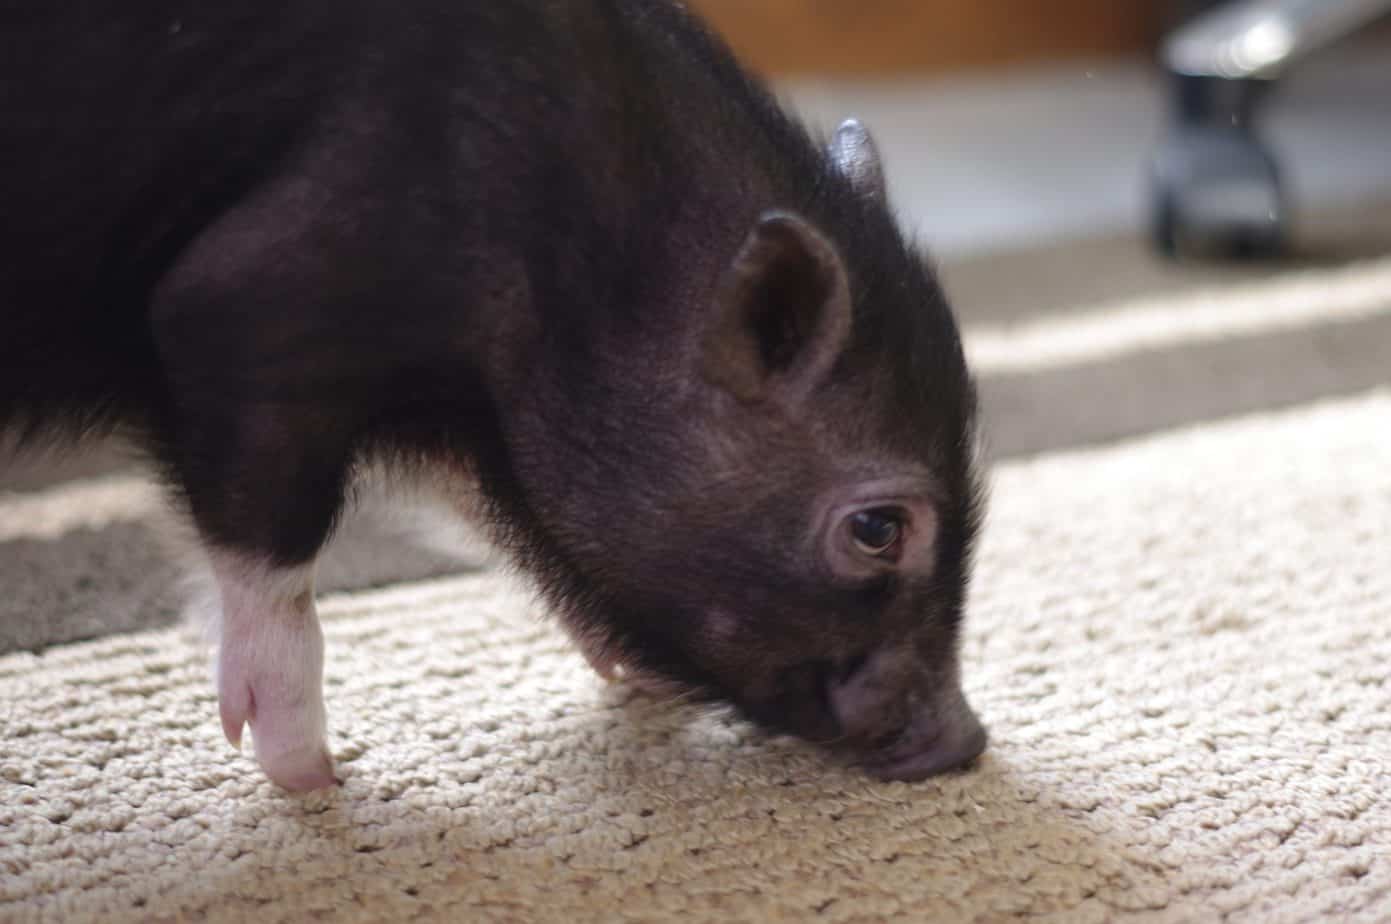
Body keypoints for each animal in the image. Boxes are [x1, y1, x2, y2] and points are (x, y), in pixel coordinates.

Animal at [0, 0, 987, 790]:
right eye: (876, 528)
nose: (967, 745)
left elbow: (484, 504)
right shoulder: (248, 306)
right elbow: (274, 554)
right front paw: (314, 777)